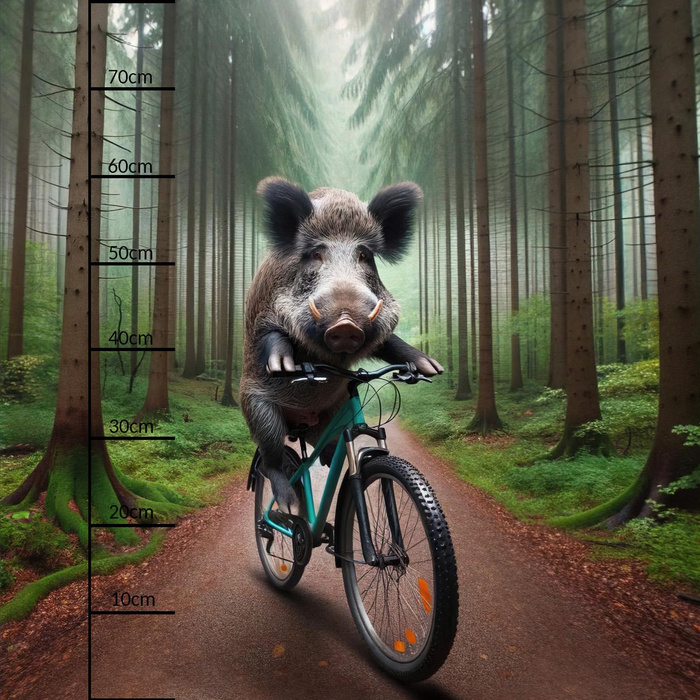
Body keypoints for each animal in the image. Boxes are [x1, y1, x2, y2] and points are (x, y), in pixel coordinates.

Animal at [240, 177, 443, 512]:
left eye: (364, 255)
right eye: (316, 253)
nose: (346, 323)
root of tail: (302, 422)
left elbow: (390, 341)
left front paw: (431, 367)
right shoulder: (264, 311)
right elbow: (271, 333)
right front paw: (283, 365)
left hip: (332, 418)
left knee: (327, 448)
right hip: (258, 410)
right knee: (271, 460)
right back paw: (288, 505)